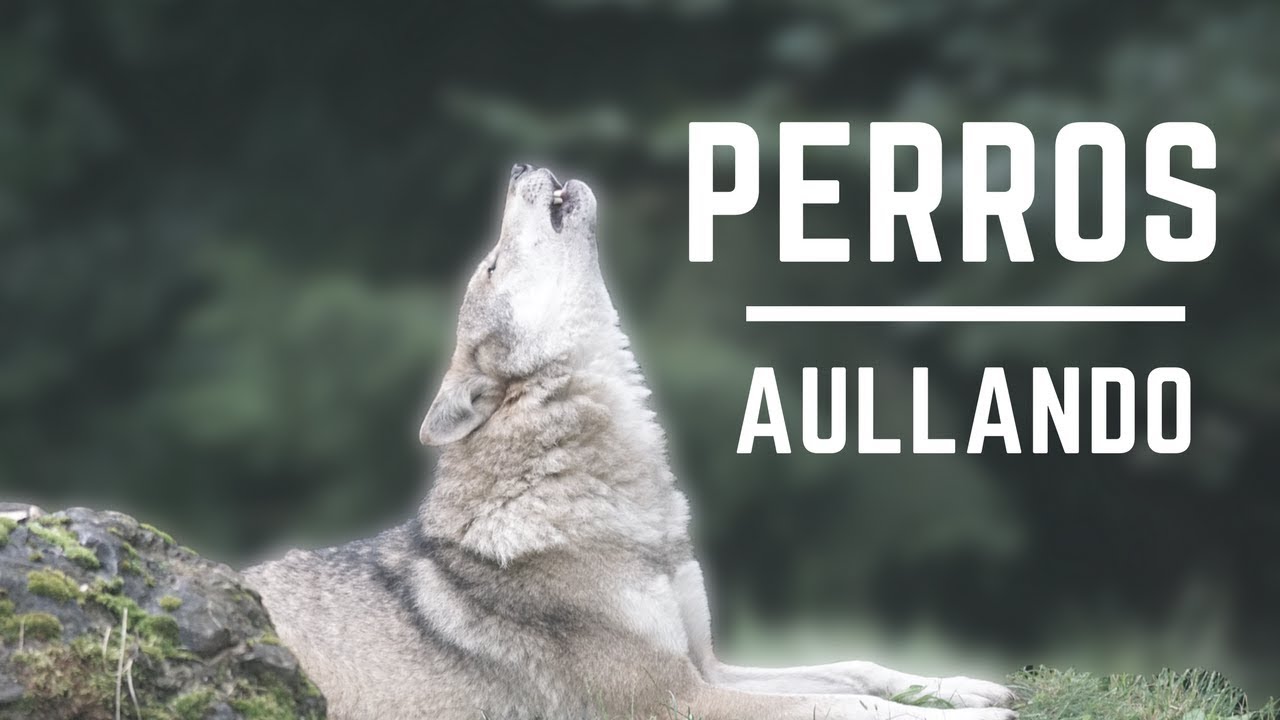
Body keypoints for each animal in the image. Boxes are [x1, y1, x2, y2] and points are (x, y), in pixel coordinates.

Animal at [244, 165, 1019, 720]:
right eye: (490, 266)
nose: (521, 163)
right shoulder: (678, 697)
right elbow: (847, 703)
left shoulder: (707, 665)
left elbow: (858, 667)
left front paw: (967, 689)